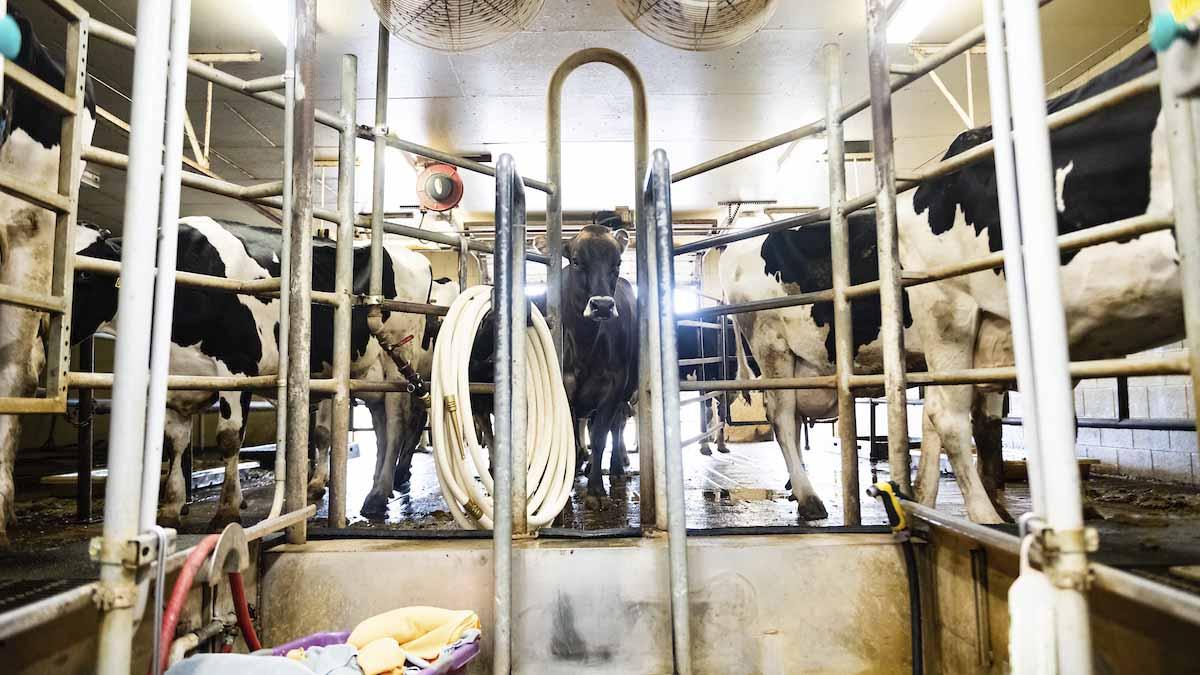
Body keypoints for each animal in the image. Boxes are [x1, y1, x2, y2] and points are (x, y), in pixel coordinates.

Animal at [71, 214, 446, 526]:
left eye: (87, 273)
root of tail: (417, 256)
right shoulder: (174, 380)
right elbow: (174, 443)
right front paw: (171, 507)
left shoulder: (237, 368)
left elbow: (229, 438)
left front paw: (227, 509)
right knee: (382, 425)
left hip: (396, 361)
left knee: (398, 422)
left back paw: (378, 495)